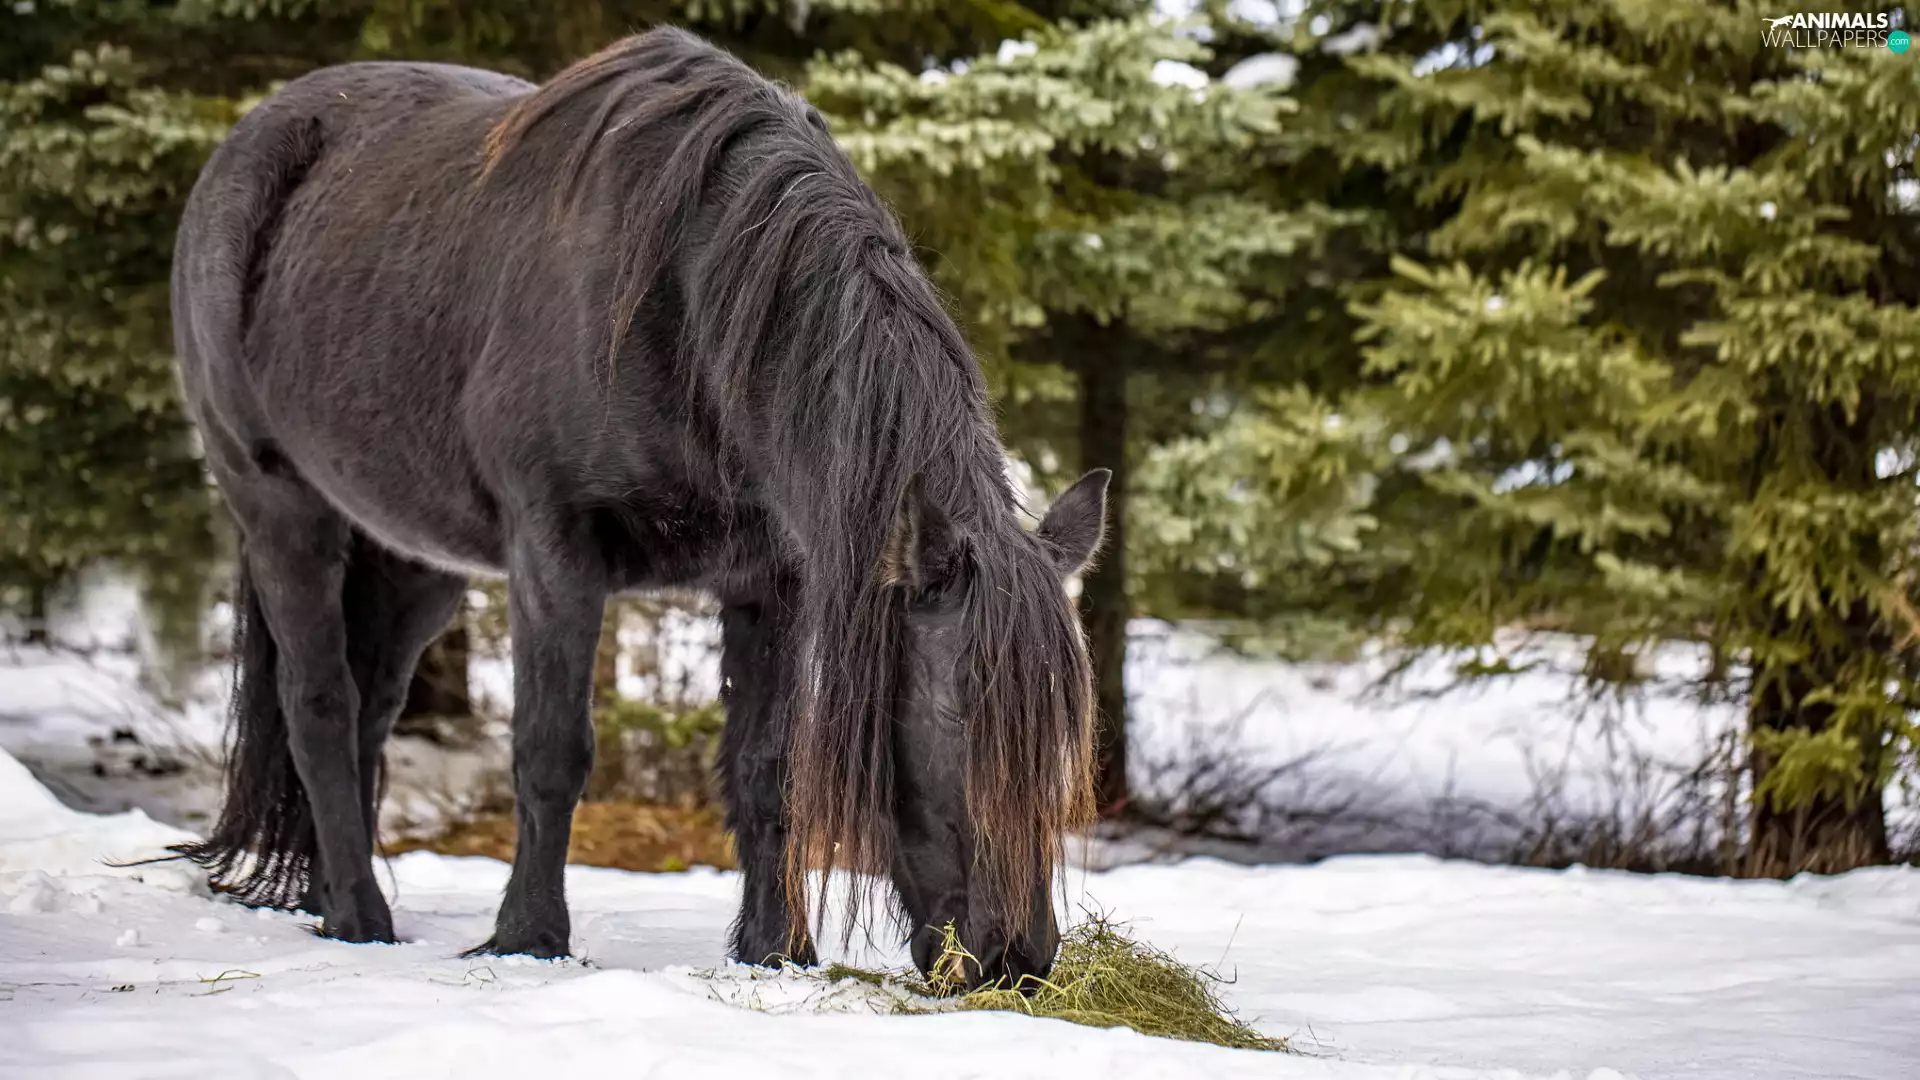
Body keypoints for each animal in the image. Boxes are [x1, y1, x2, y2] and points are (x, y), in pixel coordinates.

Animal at [166, 27, 1110, 989]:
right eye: (958, 718)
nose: (1018, 958)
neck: (683, 300)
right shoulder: (554, 555)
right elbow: (551, 751)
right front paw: (529, 938)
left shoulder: (775, 580)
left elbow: (767, 768)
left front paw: (777, 951)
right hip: (282, 512)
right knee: (319, 705)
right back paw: (361, 917)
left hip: (413, 558)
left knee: (369, 710)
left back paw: (331, 898)